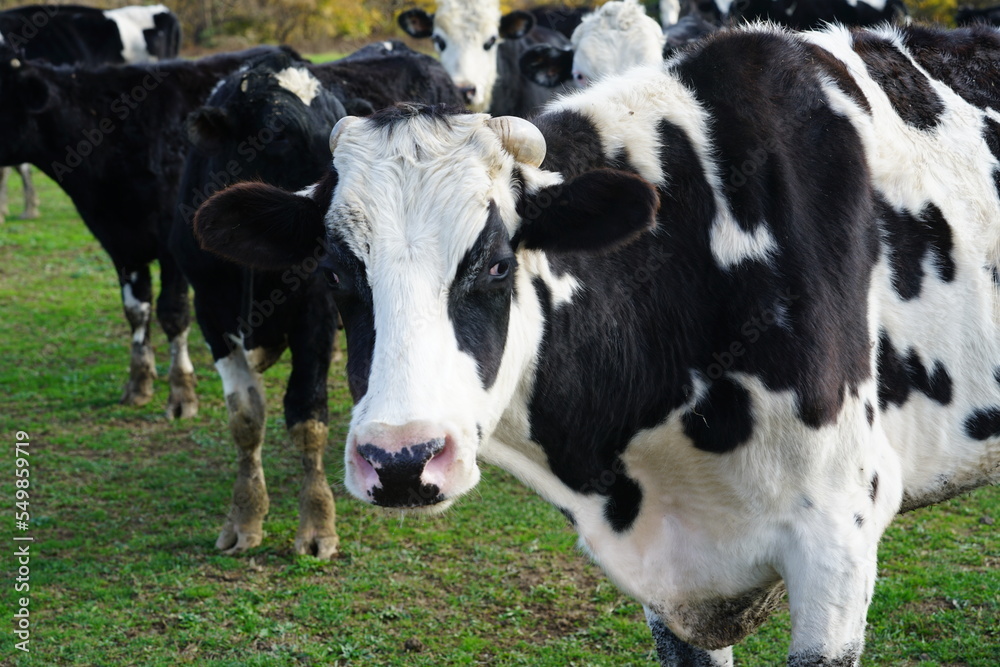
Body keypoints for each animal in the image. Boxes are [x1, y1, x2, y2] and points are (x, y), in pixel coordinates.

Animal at [0, 41, 288, 418]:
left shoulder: (175, 245)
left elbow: (172, 313)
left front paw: (181, 392)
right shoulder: (120, 243)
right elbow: (136, 310)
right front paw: (138, 382)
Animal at [171, 39, 464, 556]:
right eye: (277, 133)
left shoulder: (315, 314)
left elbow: (307, 415)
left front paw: (315, 524)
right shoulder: (211, 310)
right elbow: (245, 418)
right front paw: (244, 514)